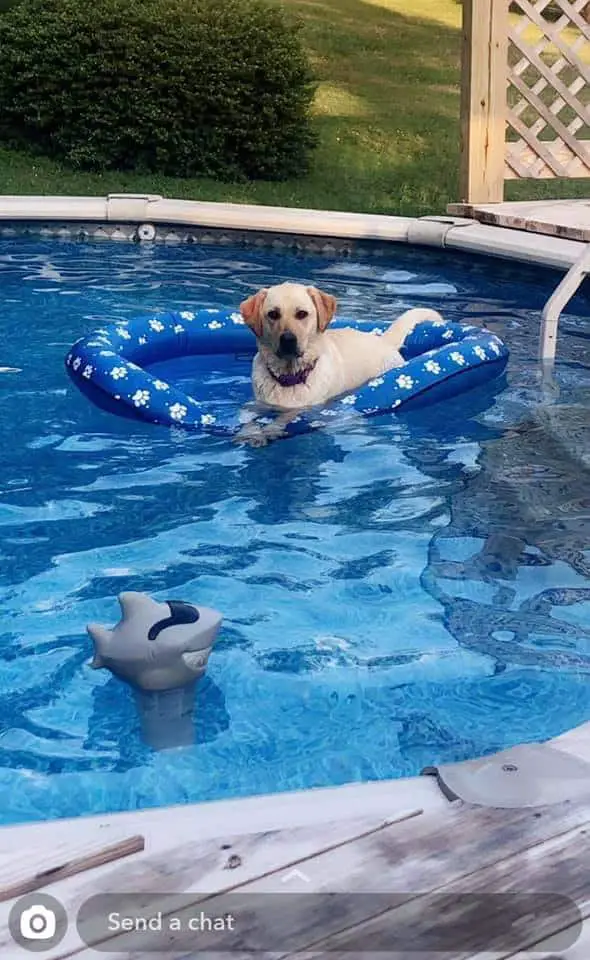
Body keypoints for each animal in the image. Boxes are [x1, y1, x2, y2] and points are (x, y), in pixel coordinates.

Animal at [236, 282, 444, 446]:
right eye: (273, 314)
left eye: (302, 314)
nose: (288, 340)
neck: (289, 377)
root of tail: (384, 341)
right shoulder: (256, 403)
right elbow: (245, 416)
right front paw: (249, 433)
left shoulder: (306, 408)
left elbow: (283, 418)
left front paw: (270, 429)